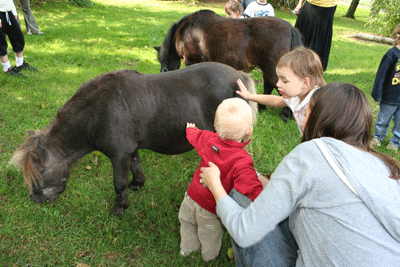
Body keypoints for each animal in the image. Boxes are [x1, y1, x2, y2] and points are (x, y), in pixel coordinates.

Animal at [10, 63, 256, 218]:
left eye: (39, 172)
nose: (34, 199)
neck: (98, 113)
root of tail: (239, 76)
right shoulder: (131, 149)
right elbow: (135, 168)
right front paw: (137, 184)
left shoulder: (119, 155)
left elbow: (119, 183)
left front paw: (119, 208)